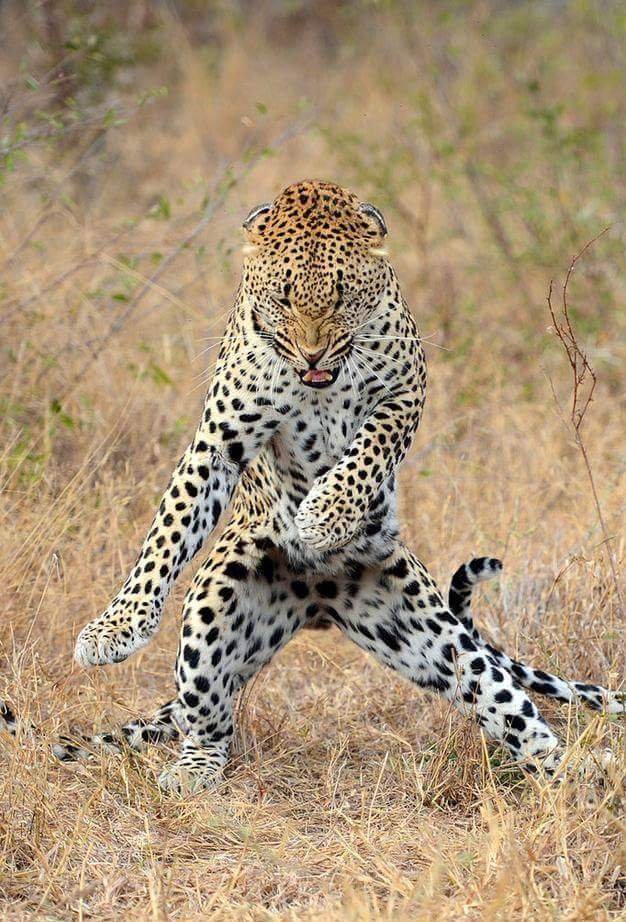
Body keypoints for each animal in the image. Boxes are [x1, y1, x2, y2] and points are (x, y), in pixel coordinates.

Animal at [47, 180, 623, 793]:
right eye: (283, 297)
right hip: (212, 606)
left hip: (431, 633)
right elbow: (168, 531)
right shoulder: (220, 439)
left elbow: (368, 448)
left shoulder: (406, 393)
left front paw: (324, 516)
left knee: (504, 700)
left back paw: (575, 767)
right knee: (210, 717)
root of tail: (317, 602)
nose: (313, 353)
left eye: (344, 297)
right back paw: (194, 769)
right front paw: (115, 628)